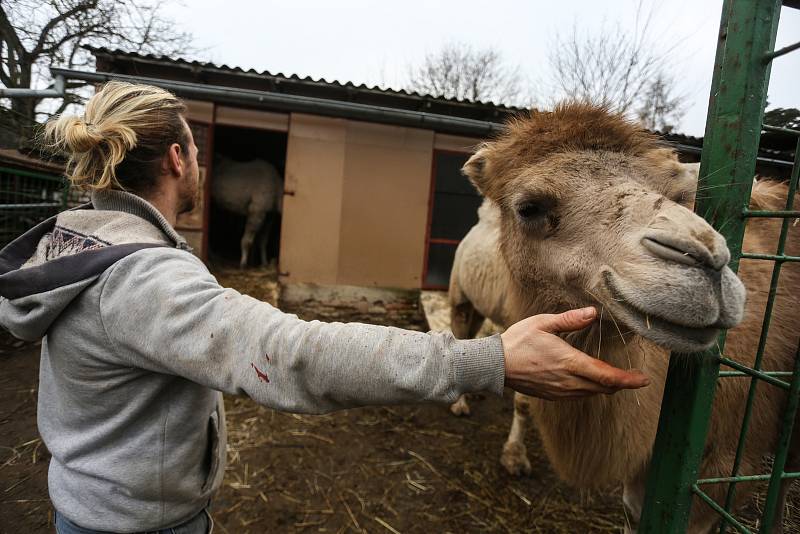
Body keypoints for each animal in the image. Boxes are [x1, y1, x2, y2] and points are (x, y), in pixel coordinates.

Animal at [450, 102, 800, 532]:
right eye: (529, 208)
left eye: (678, 195)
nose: (707, 262)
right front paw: (514, 458)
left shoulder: (727, 462)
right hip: (460, 289)